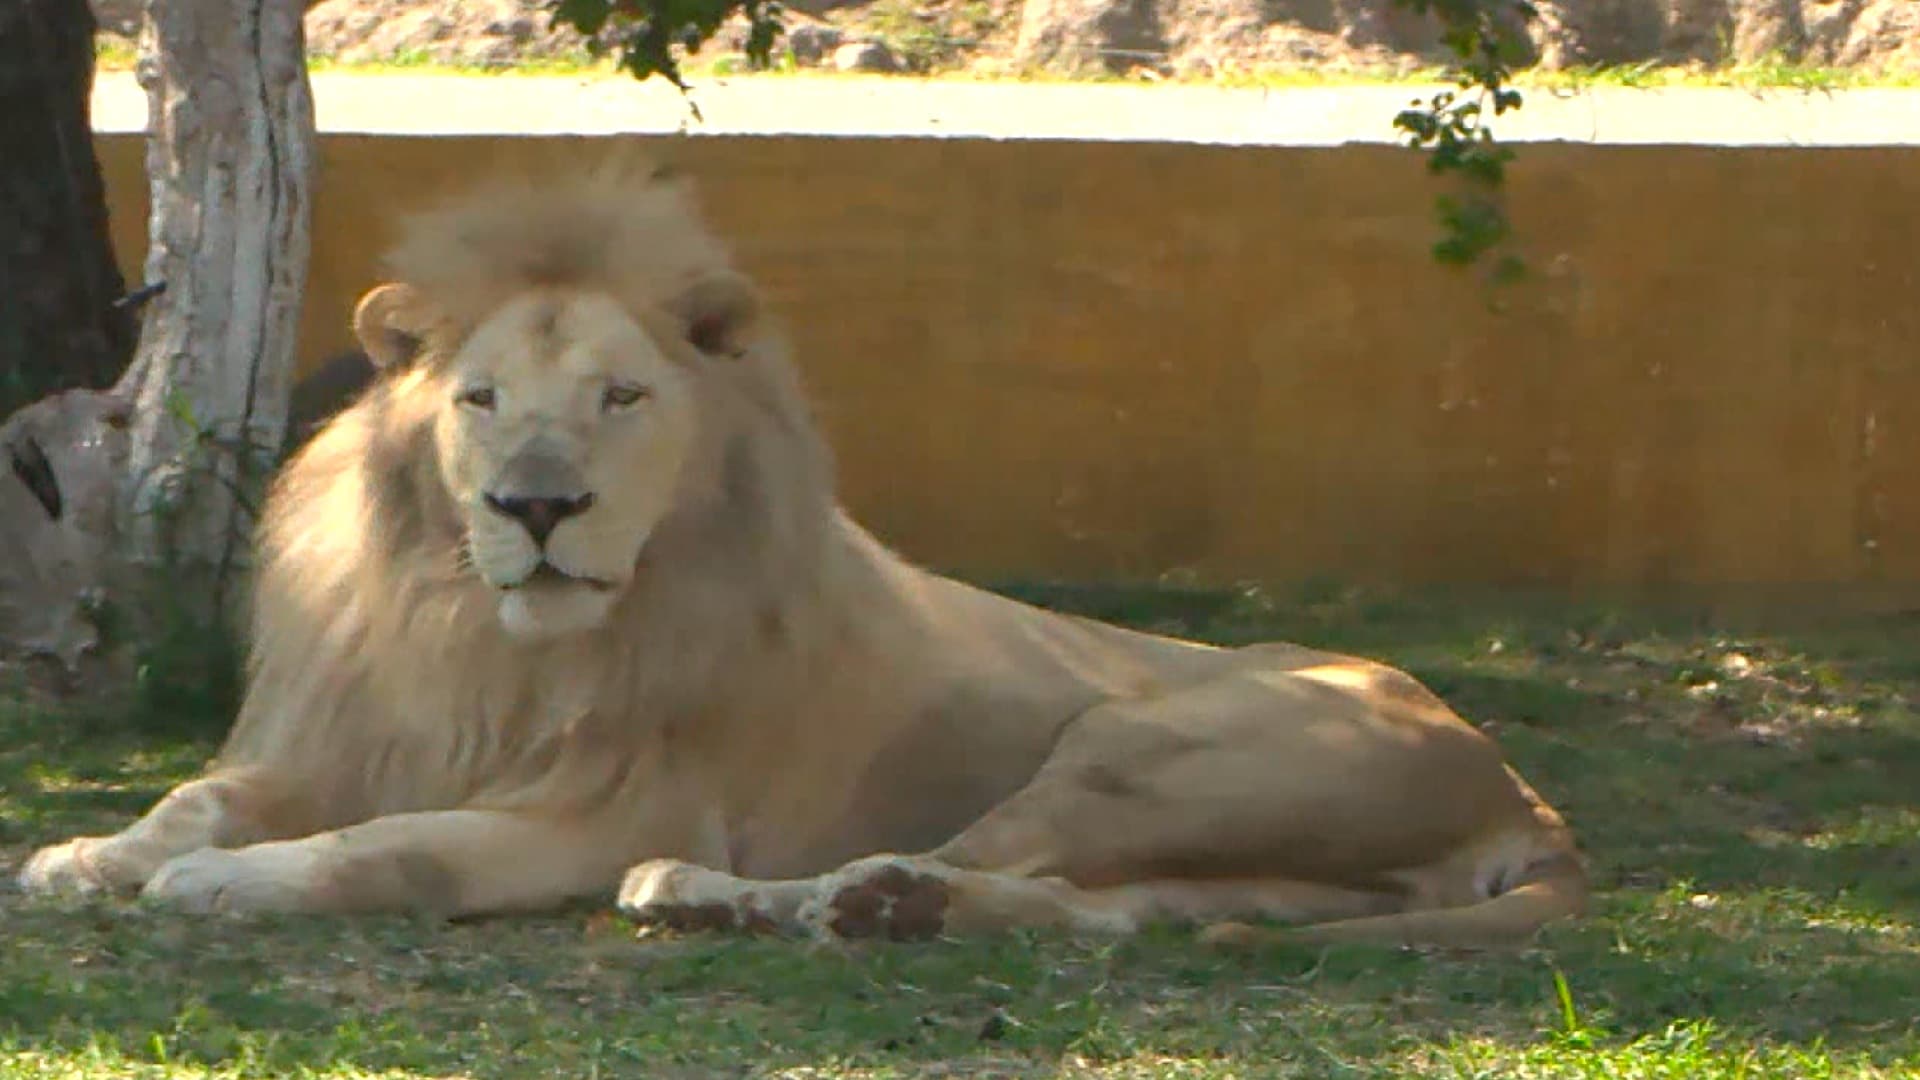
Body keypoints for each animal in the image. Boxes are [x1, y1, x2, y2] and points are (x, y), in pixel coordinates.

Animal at [19, 166, 1586, 948]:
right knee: (1092, 915)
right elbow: (201, 796)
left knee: (979, 860)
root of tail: (1521, 789)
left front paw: (227, 887)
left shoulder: (602, 805)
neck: (487, 644)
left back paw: (737, 897)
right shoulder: (353, 735)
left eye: (621, 398)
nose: (536, 508)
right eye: (480, 402)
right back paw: (875, 911)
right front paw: (92, 851)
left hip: (1149, 751)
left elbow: (393, 851)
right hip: (1237, 859)